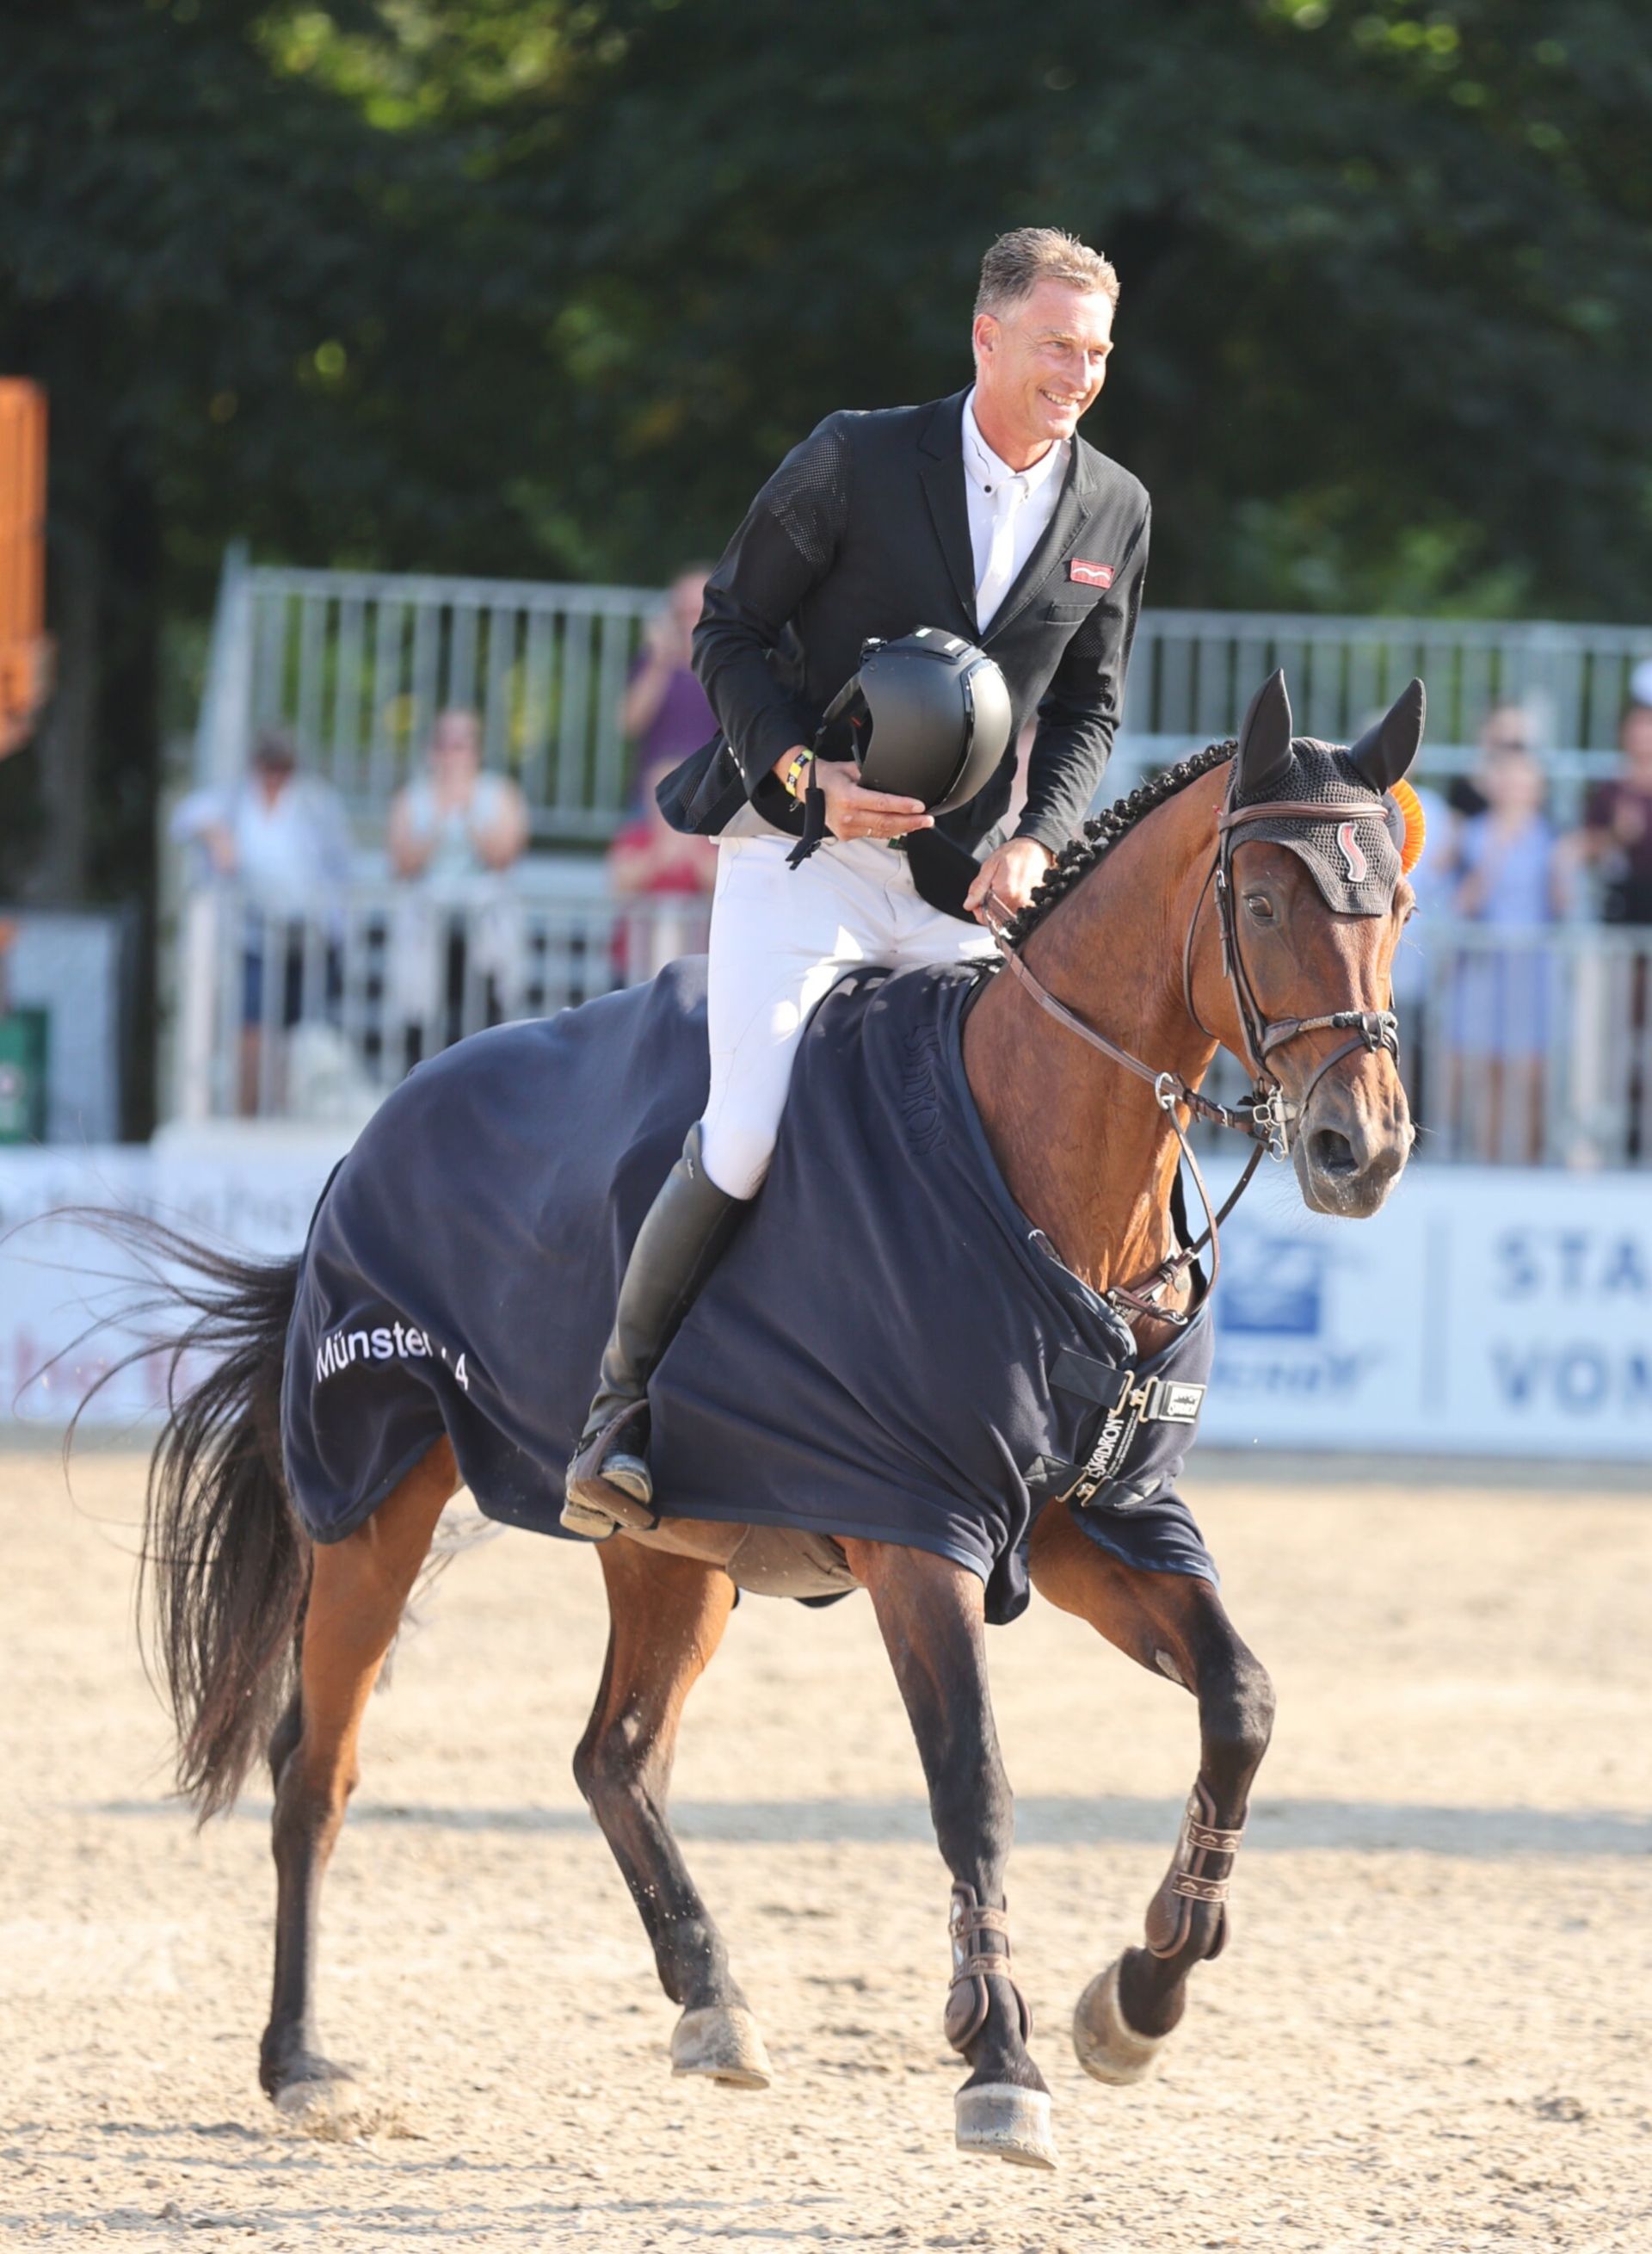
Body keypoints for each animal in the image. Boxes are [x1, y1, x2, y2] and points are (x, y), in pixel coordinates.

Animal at [126, 667, 1415, 2164]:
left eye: (1397, 903)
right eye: (1260, 903)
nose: (1363, 1150)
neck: (1049, 1175)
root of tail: (375, 1127)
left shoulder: (1098, 1523)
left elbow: (1240, 1699)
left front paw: (1142, 1991)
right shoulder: (923, 1534)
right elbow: (973, 1779)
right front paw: (1002, 2056)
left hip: (669, 1550)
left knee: (614, 1755)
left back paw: (711, 1997)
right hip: (374, 1500)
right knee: (316, 1768)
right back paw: (300, 2059)